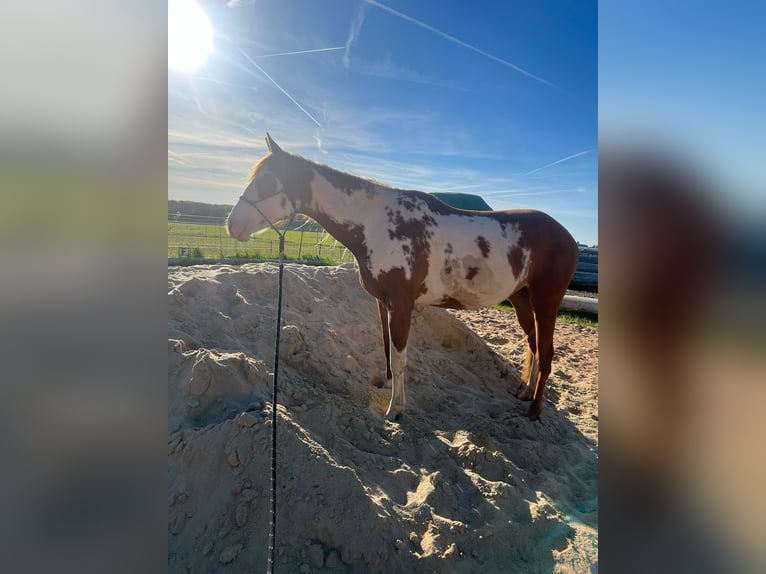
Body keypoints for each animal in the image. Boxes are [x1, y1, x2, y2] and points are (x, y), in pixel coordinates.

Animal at [227, 134, 579, 421]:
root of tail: (569, 238)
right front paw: (386, 388)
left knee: (547, 353)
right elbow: (387, 349)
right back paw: (525, 392)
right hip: (522, 298)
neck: (376, 223)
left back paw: (534, 412)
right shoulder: (383, 302)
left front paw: (395, 411)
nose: (232, 225)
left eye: (268, 182)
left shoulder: (402, 304)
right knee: (533, 345)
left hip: (546, 301)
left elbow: (400, 359)